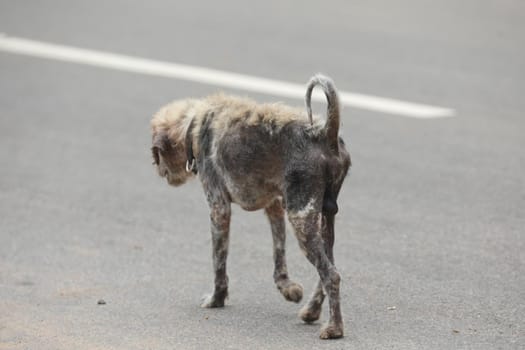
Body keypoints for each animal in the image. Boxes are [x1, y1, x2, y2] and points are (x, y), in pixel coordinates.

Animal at [149, 74, 350, 340]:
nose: (159, 170)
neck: (195, 123)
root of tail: (324, 132)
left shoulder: (218, 208)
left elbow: (219, 261)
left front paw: (217, 299)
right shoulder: (274, 207)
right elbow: (278, 252)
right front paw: (286, 287)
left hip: (301, 220)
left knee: (331, 274)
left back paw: (334, 328)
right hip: (324, 217)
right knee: (328, 267)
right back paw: (312, 311)